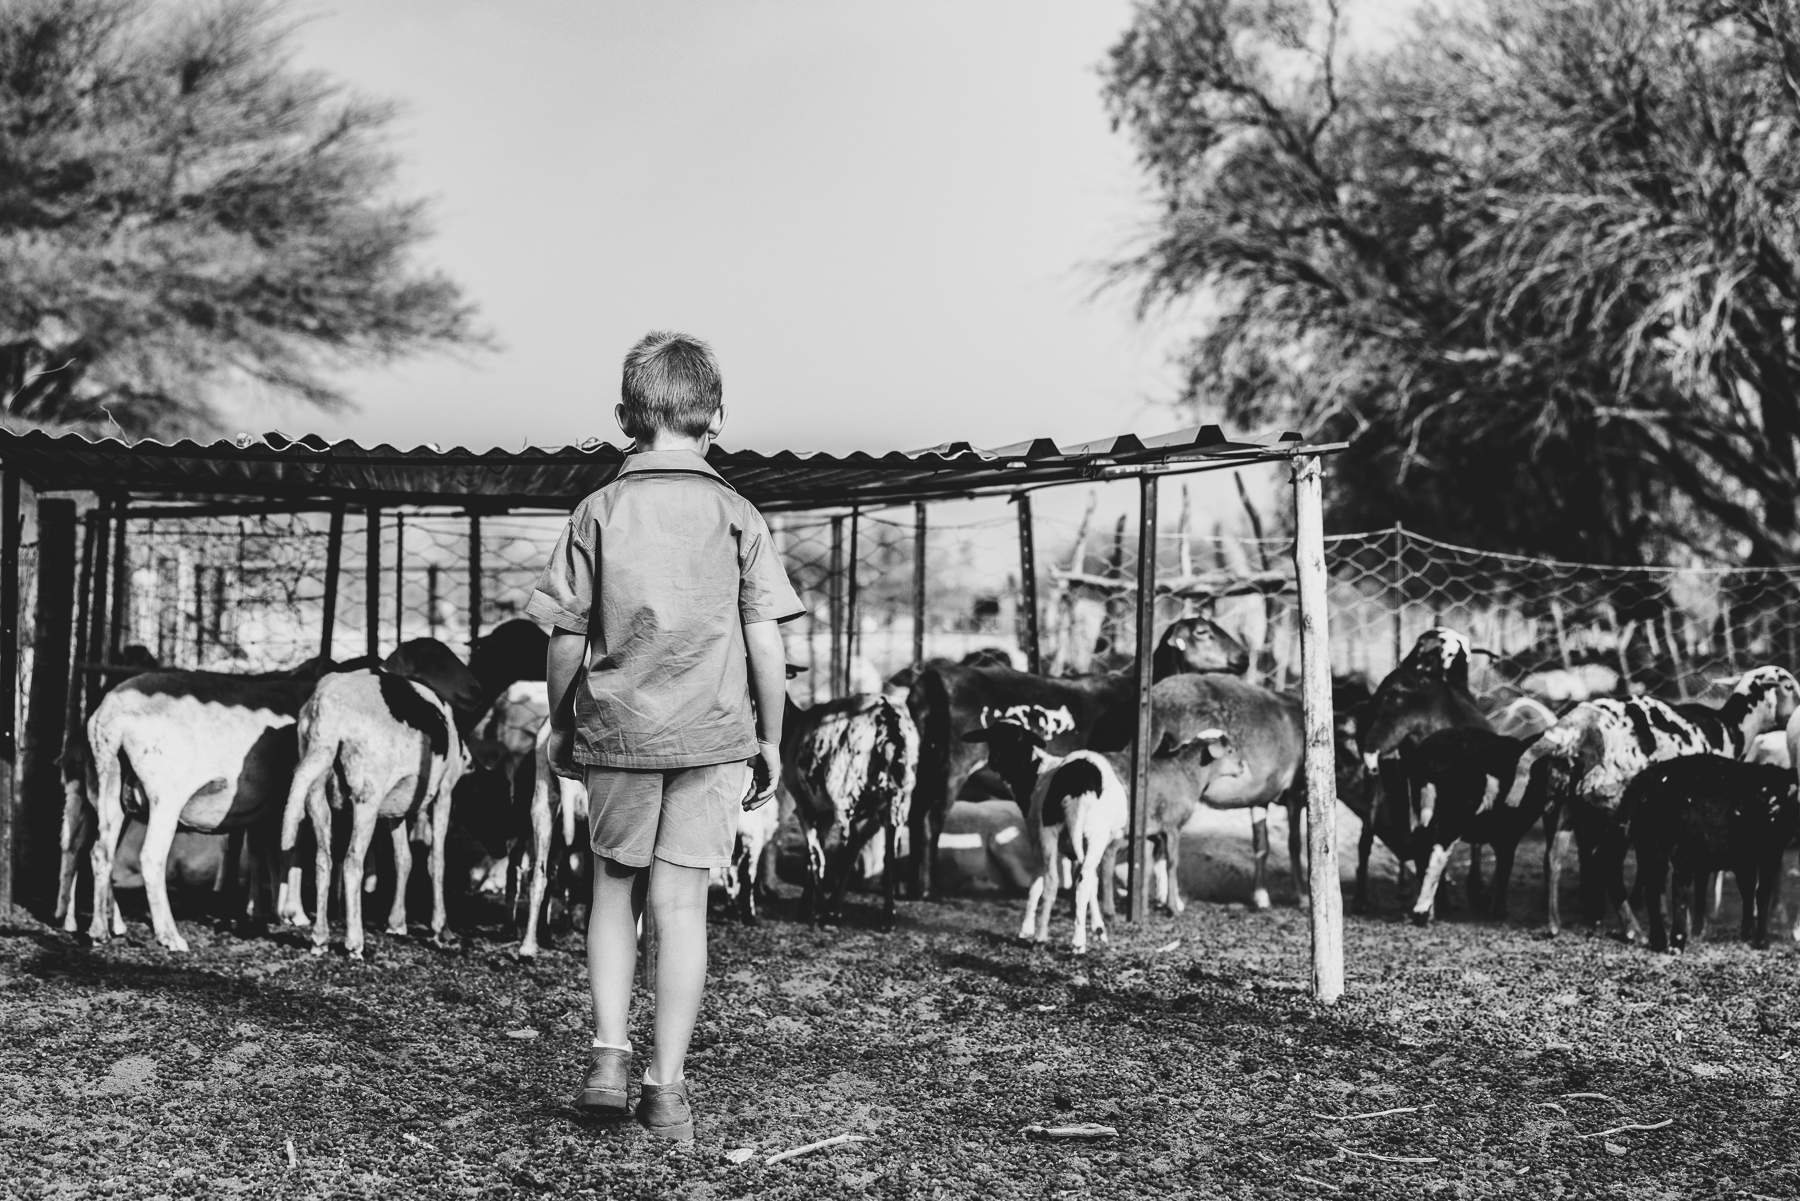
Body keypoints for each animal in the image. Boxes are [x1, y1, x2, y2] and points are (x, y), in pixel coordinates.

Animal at [1620, 756, 1800, 950]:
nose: (1774, 807)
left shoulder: (1745, 859)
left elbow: (1747, 889)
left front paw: (1747, 931)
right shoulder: (1770, 852)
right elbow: (1761, 893)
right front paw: (1760, 940)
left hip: (1649, 844)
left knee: (1652, 888)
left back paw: (1659, 940)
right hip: (1689, 844)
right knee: (1679, 882)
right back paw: (1677, 938)